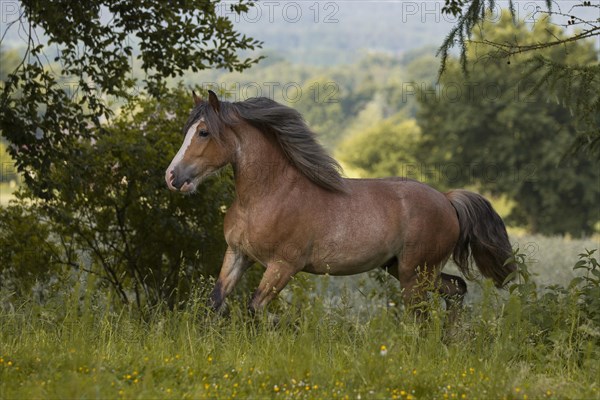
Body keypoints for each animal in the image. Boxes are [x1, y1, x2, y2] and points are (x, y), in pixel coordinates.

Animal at [165, 90, 516, 316]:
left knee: (421, 315)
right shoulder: (238, 254)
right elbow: (215, 302)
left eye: (204, 133)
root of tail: (446, 200)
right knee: (456, 291)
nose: (172, 177)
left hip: (415, 273)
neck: (267, 195)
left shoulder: (283, 266)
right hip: (405, 269)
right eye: (186, 130)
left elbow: (254, 309)